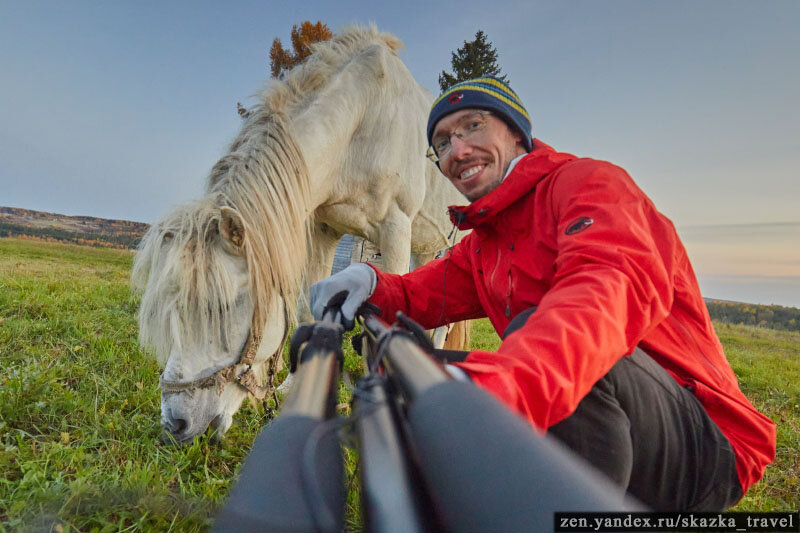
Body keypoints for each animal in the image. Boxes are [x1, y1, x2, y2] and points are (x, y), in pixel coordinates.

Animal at [132, 25, 468, 442]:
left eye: (222, 307)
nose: (175, 424)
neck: (362, 122)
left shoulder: (395, 230)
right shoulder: (324, 229)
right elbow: (311, 306)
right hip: (425, 246)